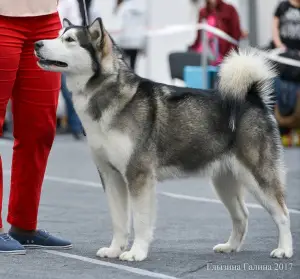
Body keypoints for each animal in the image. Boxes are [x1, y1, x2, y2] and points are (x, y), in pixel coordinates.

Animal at [34, 18, 292, 262]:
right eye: (58, 35)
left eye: (69, 40)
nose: (37, 44)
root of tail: (253, 97)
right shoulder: (111, 176)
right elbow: (119, 221)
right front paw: (115, 249)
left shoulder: (138, 175)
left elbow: (140, 221)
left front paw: (136, 252)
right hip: (223, 181)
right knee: (242, 215)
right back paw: (230, 247)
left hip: (259, 177)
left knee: (283, 213)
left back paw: (284, 249)